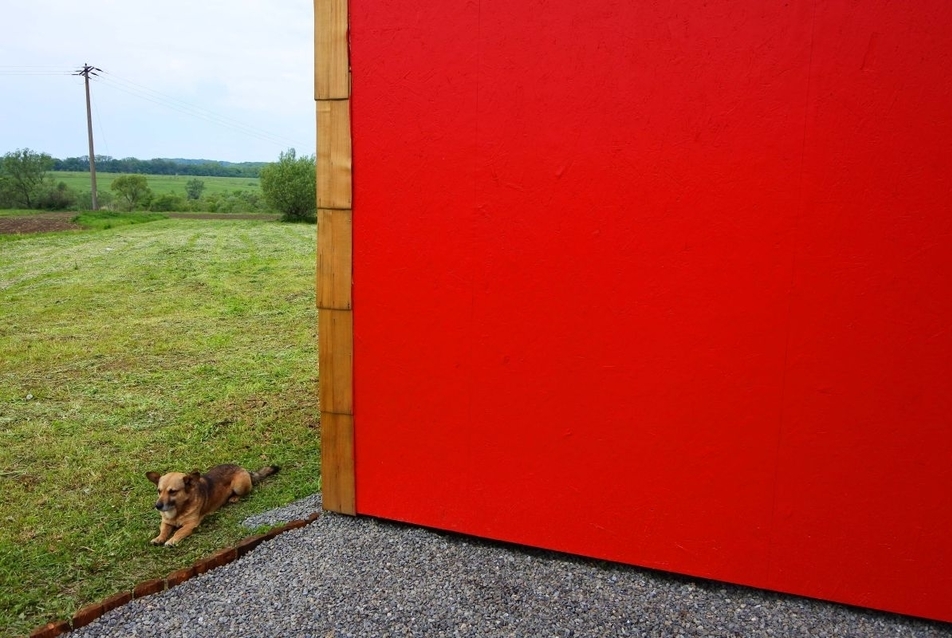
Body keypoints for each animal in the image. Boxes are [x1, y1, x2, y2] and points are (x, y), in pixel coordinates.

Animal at [146, 462, 278, 548]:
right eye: (159, 491)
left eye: (172, 491)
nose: (157, 506)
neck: (178, 510)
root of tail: (243, 469)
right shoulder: (166, 522)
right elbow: (163, 531)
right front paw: (159, 538)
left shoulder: (191, 524)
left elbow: (179, 532)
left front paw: (172, 540)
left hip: (239, 486)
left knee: (246, 491)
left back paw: (234, 497)